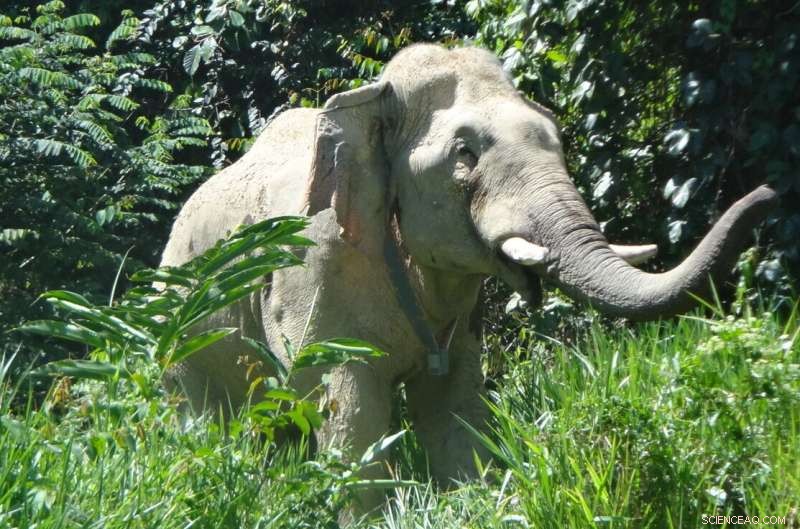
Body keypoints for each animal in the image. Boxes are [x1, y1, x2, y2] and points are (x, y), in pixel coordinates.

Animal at [160, 43, 776, 511]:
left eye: (557, 137)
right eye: (464, 152)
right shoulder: (312, 275)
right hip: (182, 340)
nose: (768, 193)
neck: (371, 98)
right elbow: (348, 406)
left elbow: (454, 403)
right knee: (209, 423)